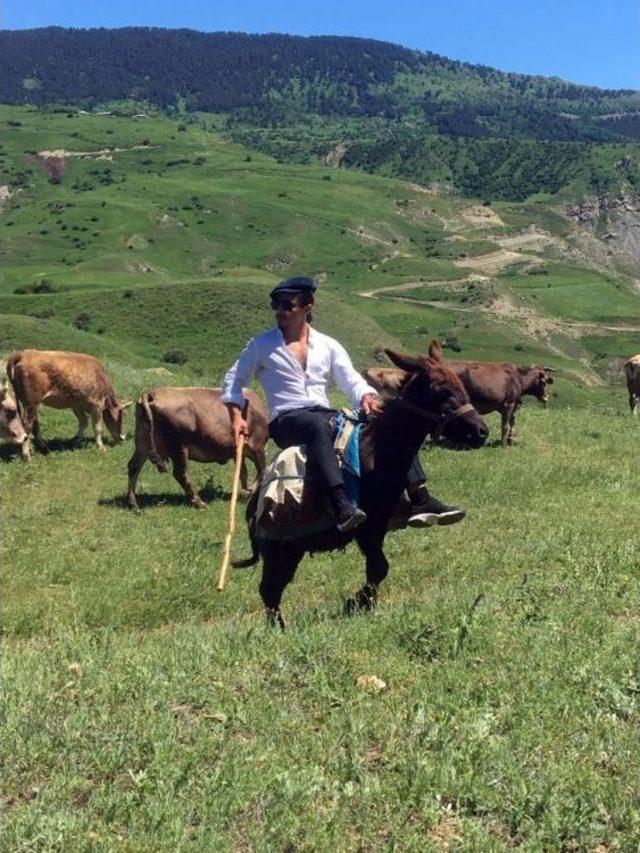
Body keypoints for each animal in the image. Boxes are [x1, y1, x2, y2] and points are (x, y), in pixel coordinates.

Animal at [127, 384, 268, 506]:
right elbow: (261, 472)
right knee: (180, 473)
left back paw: (133, 504)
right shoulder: (258, 447)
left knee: (133, 466)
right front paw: (249, 493)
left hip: (143, 443)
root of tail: (150, 393)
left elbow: (243, 472)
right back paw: (199, 502)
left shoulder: (239, 452)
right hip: (179, 446)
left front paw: (245, 493)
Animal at [364, 342, 556, 446]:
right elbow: (506, 426)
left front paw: (509, 441)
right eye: (544, 381)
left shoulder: (514, 405)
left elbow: (511, 425)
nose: (546, 397)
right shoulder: (508, 404)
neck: (518, 377)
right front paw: (504, 445)